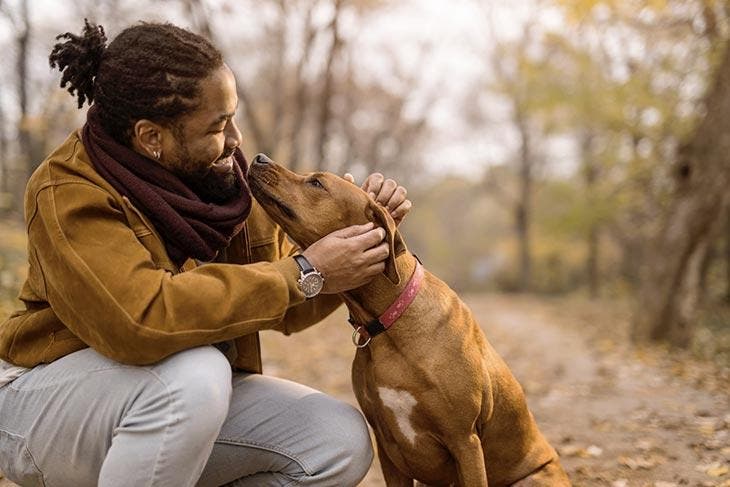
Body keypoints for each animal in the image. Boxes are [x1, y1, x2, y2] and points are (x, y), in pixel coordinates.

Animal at [246, 154, 568, 486]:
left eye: (317, 182)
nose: (259, 158)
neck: (389, 323)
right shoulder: (387, 445)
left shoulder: (465, 441)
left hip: (532, 478)